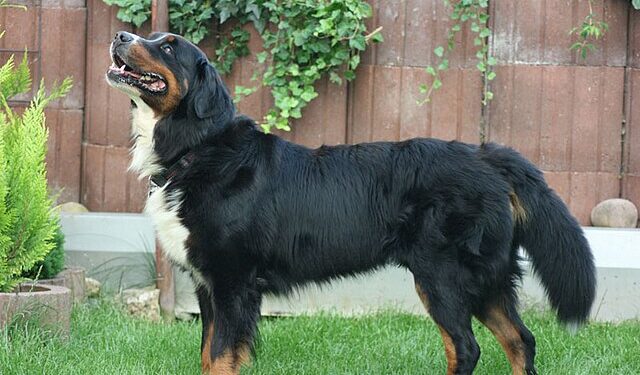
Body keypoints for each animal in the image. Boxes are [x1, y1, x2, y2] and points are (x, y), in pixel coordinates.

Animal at [106, 32, 596, 375]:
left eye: (168, 46)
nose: (120, 35)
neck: (199, 148)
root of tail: (488, 155)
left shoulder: (232, 283)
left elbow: (222, 358)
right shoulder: (209, 286)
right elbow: (209, 356)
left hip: (444, 277)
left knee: (466, 348)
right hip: (485, 279)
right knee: (520, 341)